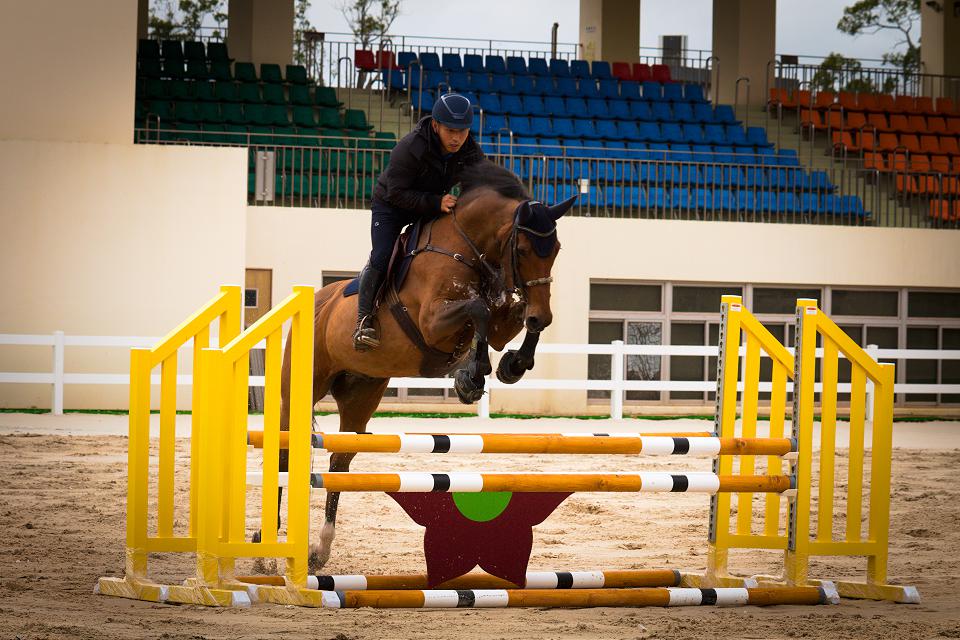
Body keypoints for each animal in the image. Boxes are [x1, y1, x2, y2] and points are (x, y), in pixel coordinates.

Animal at [270, 160, 572, 568]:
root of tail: (317, 301)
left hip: (362, 393)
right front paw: (471, 377)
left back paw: (320, 548)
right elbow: (477, 309)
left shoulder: (498, 321)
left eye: (555, 249)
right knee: (286, 452)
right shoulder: (433, 323)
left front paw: (512, 364)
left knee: (340, 459)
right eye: (522, 249)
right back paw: (265, 547)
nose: (545, 314)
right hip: (302, 388)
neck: (465, 249)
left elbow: (509, 318)